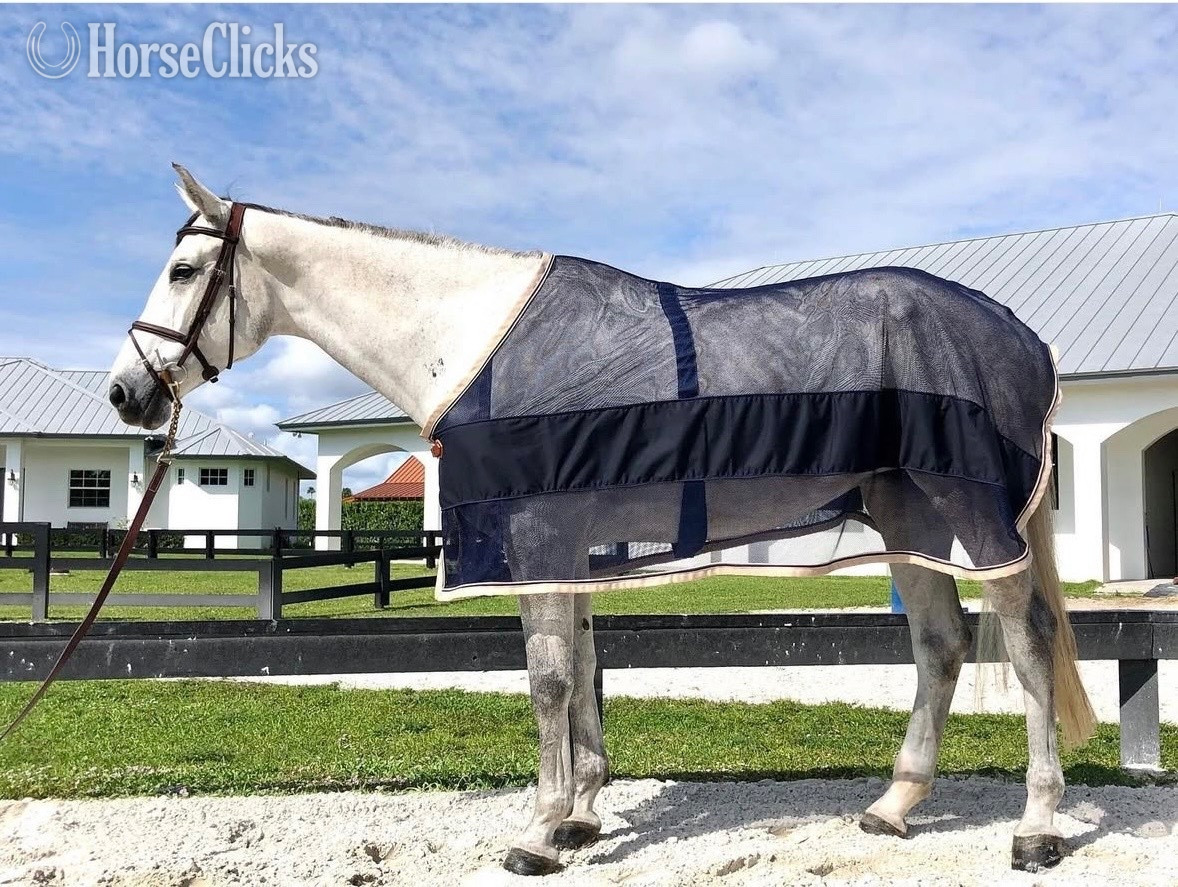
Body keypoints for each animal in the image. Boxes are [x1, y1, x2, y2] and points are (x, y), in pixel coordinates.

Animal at [109, 164, 1096, 876]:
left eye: (185, 270)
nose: (127, 393)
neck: (478, 343)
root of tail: (1021, 333)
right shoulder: (567, 544)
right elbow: (581, 667)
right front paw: (582, 812)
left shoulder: (541, 533)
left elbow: (548, 678)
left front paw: (540, 829)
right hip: (903, 513)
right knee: (941, 643)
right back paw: (894, 806)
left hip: (974, 513)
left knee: (1026, 638)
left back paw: (1038, 825)